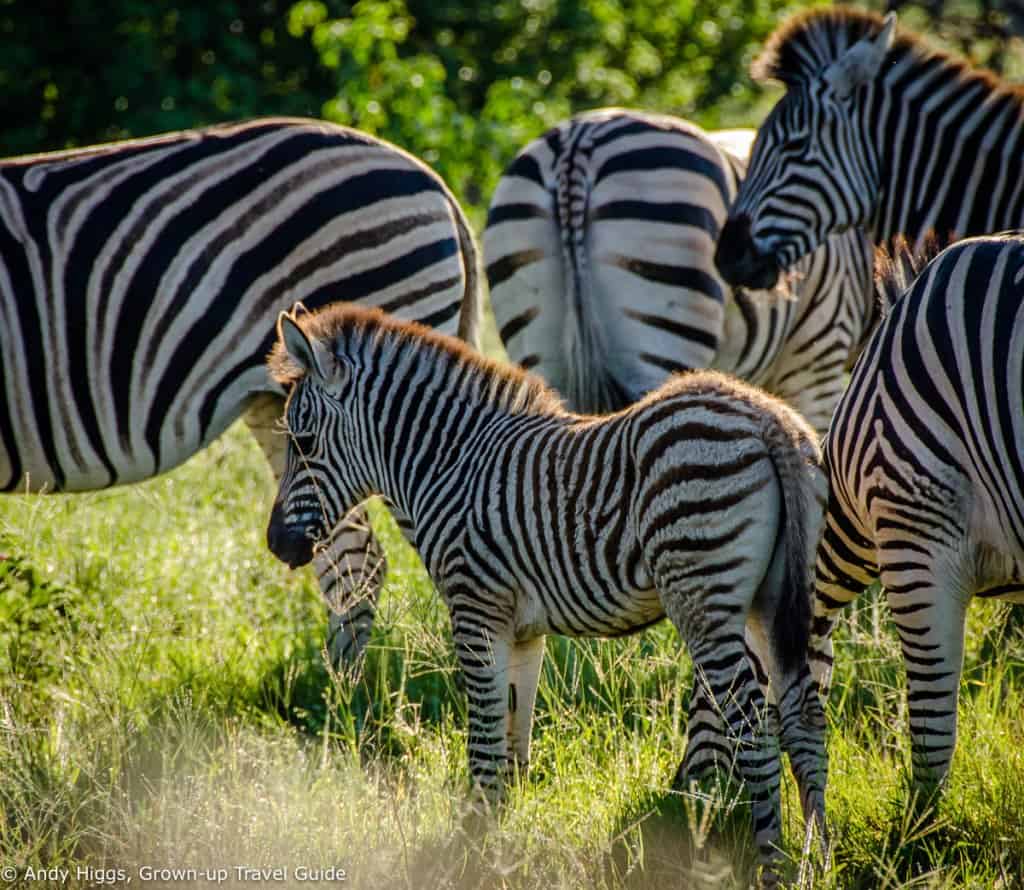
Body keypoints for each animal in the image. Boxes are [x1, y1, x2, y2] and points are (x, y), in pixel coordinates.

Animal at [266, 303, 831, 876]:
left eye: (302, 442)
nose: (275, 544)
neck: (450, 463)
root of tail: (767, 418)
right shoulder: (523, 631)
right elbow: (514, 737)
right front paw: (502, 840)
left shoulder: (476, 609)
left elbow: (485, 739)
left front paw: (470, 846)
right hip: (783, 601)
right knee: (804, 718)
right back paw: (816, 859)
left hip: (704, 599)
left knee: (756, 730)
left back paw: (772, 865)